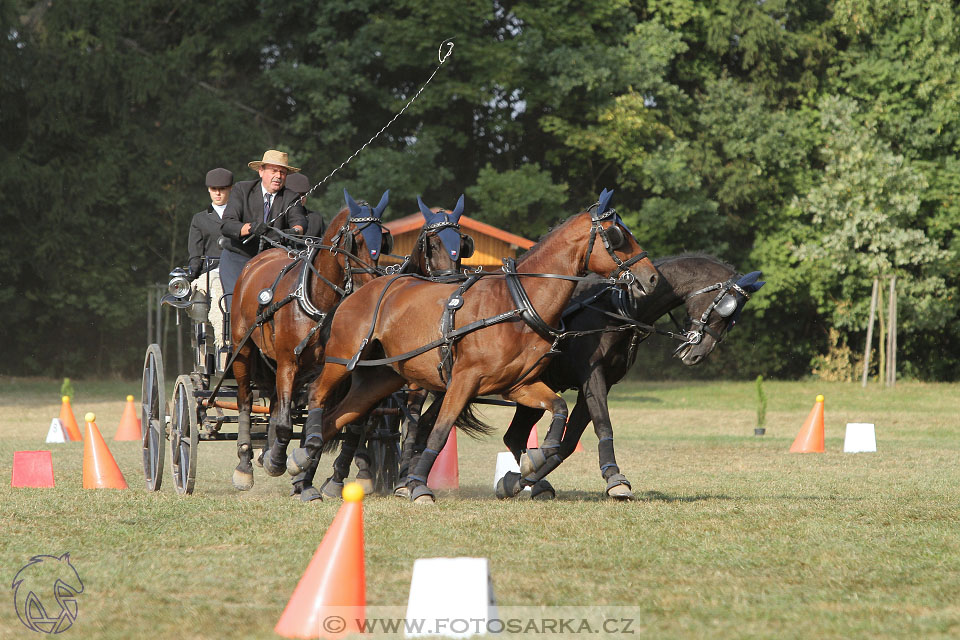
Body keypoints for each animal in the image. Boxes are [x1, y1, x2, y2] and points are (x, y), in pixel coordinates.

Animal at [229, 188, 390, 492]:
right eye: (356, 239)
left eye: (383, 238)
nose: (369, 288)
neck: (317, 300)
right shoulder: (287, 362)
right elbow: (285, 424)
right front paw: (280, 462)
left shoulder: (334, 367)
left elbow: (326, 423)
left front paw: (301, 465)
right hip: (243, 349)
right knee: (245, 400)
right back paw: (245, 464)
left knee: (278, 405)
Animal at [284, 190, 660, 504]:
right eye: (618, 236)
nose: (652, 278)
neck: (516, 303)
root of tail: (357, 292)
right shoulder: (464, 381)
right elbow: (439, 431)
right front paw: (417, 485)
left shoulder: (519, 385)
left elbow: (558, 411)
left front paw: (533, 462)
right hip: (341, 362)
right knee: (318, 397)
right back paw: (303, 465)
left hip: (380, 379)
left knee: (339, 417)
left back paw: (303, 475)